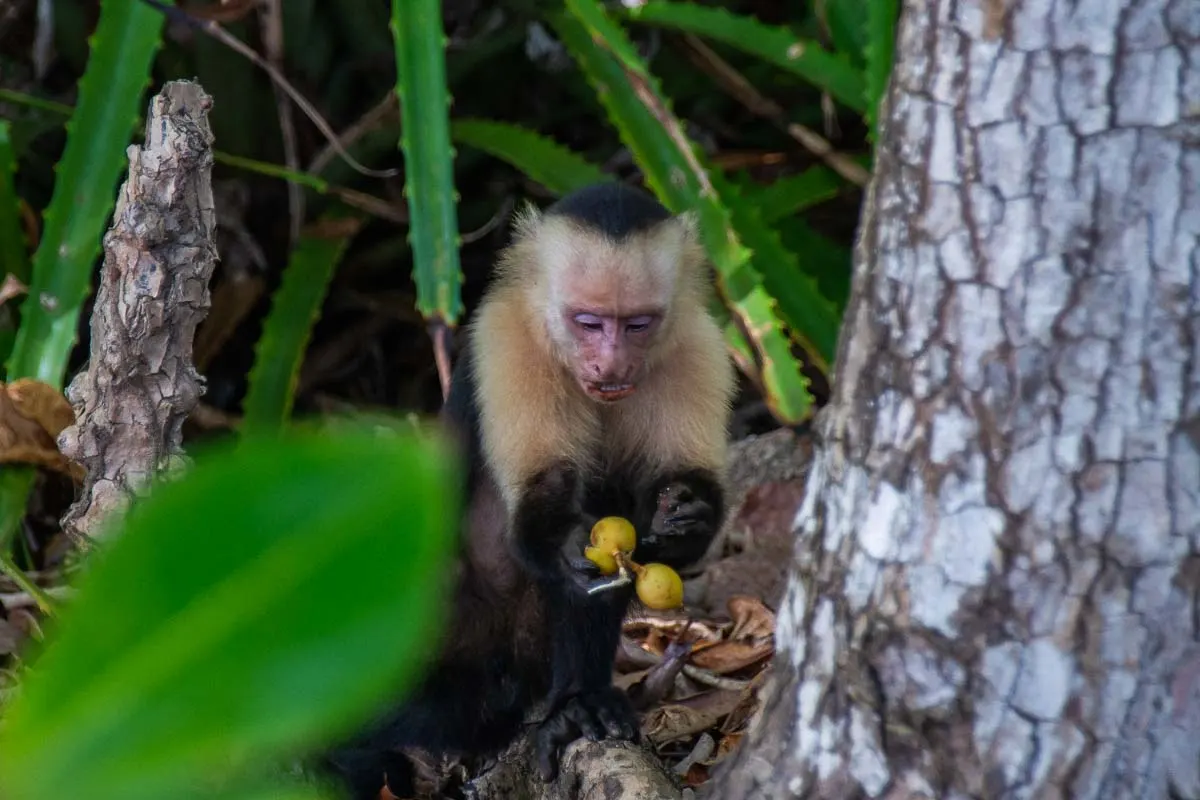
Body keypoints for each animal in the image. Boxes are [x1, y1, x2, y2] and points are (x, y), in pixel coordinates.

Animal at [326, 183, 739, 800]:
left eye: (637, 325)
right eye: (588, 322)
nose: (611, 363)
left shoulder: (696, 347)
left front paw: (688, 514)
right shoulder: (506, 339)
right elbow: (543, 494)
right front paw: (565, 536)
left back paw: (577, 706)